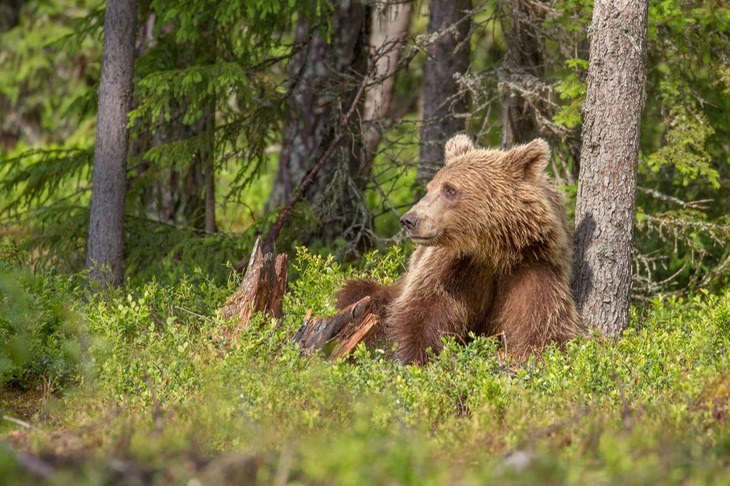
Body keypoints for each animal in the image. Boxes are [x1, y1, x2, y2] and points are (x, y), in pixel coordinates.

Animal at [338, 135, 584, 362]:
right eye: (430, 187)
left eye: (450, 189)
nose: (409, 220)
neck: (493, 250)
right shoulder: (452, 269)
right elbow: (421, 312)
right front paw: (408, 356)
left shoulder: (532, 266)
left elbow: (543, 328)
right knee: (359, 295)